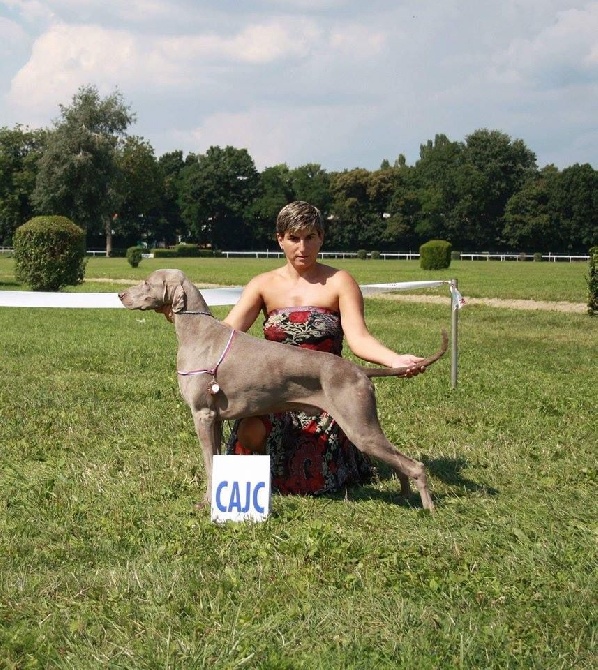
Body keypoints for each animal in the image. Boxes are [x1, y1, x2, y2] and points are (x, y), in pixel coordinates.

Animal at [119, 270, 448, 512]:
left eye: (147, 282)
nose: (120, 295)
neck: (198, 333)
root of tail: (358, 370)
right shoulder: (215, 417)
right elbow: (215, 459)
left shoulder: (202, 414)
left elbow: (209, 463)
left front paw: (206, 504)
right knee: (401, 462)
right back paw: (405, 497)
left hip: (359, 425)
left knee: (415, 465)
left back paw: (428, 508)